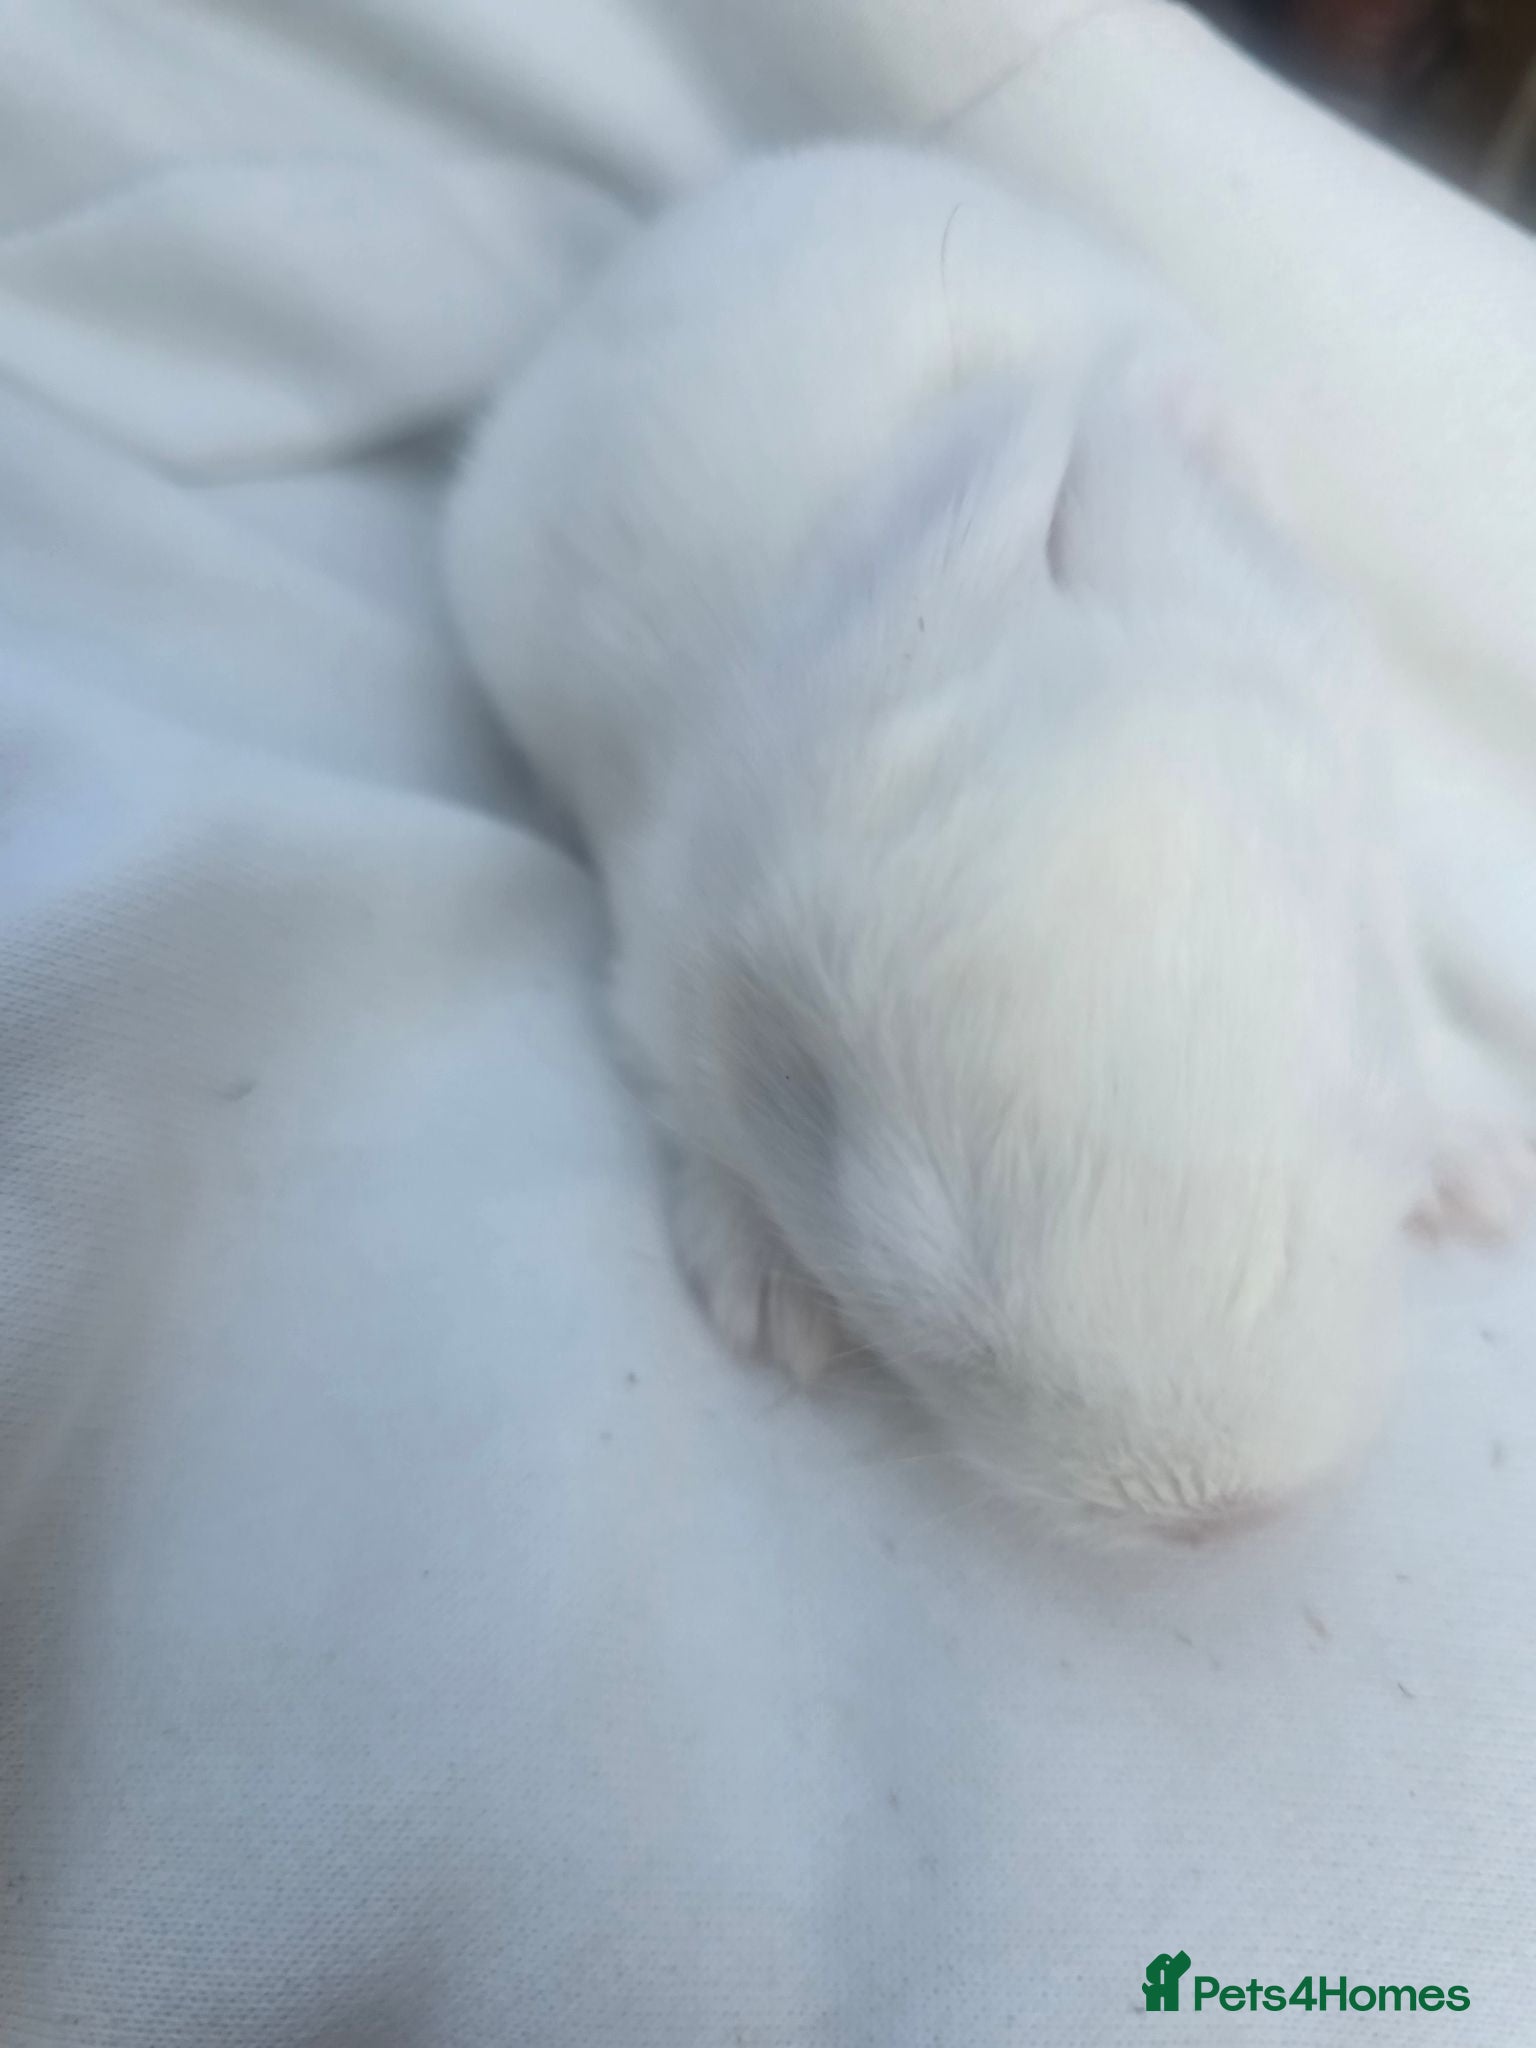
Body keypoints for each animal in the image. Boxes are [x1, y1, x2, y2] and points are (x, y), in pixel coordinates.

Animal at [445, 143, 1531, 1542]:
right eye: (930, 1278)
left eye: (1363, 1086)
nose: (1210, 1504)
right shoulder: (663, 952)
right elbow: (692, 1106)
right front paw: (770, 1306)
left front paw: (1489, 1170)